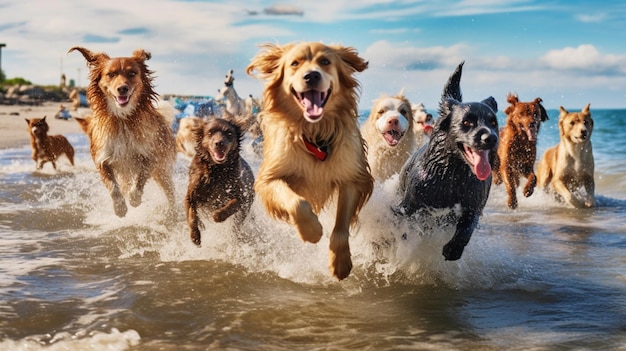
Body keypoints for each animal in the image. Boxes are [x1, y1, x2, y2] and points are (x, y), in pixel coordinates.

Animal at [68, 45, 176, 219]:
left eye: (132, 73)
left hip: (162, 170)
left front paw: (134, 199)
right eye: (110, 74)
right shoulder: (102, 158)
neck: (122, 120)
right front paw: (119, 207)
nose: (122, 89)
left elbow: (141, 178)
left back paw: (172, 213)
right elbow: (113, 187)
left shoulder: (151, 155)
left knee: (170, 192)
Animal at [184, 117, 255, 246]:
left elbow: (232, 204)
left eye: (229, 133)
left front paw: (218, 215)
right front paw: (195, 236)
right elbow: (191, 215)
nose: (219, 143)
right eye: (210, 132)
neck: (217, 170)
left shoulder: (242, 196)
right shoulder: (192, 193)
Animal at [244, 41, 370, 280]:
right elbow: (297, 202)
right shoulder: (268, 179)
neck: (314, 132)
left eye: (325, 61)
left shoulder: (353, 176)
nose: (311, 75)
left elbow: (341, 227)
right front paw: (311, 231)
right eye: (295, 63)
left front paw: (340, 263)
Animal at [394, 62, 498, 262]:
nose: (491, 138)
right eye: (466, 122)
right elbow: (402, 227)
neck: (453, 175)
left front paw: (453, 249)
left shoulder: (473, 206)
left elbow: (466, 229)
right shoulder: (408, 206)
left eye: (493, 122)